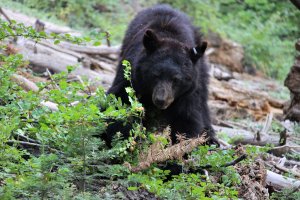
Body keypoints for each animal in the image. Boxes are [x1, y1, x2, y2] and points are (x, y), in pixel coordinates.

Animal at [105, 4, 216, 145]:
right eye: (155, 75)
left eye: (176, 80)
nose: (161, 100)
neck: (170, 37)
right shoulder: (131, 76)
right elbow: (120, 101)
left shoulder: (186, 94)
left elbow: (186, 117)